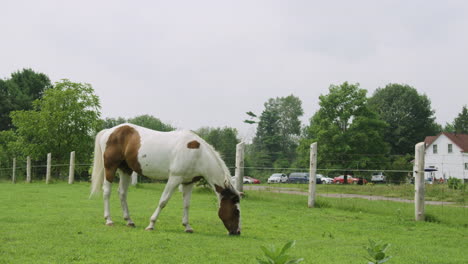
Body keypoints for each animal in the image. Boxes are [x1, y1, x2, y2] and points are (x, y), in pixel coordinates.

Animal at [90, 124, 241, 235]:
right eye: (236, 211)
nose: (237, 232)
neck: (198, 154)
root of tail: (110, 131)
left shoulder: (188, 182)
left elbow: (186, 204)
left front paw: (187, 226)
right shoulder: (174, 179)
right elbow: (163, 201)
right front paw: (151, 224)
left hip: (125, 170)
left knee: (122, 193)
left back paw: (129, 221)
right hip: (110, 167)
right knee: (107, 192)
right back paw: (109, 220)